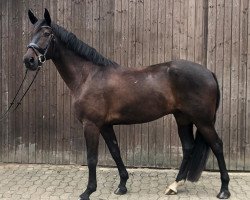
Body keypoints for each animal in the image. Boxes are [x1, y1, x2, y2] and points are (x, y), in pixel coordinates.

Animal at [23, 9, 230, 198]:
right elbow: (115, 151)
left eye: (47, 33)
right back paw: (174, 185)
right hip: (183, 118)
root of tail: (209, 72)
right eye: (31, 32)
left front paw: (88, 191)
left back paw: (224, 190)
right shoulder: (105, 125)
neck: (88, 76)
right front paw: (122, 185)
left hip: (203, 121)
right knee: (188, 148)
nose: (29, 60)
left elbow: (92, 158)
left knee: (217, 146)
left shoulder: (91, 125)